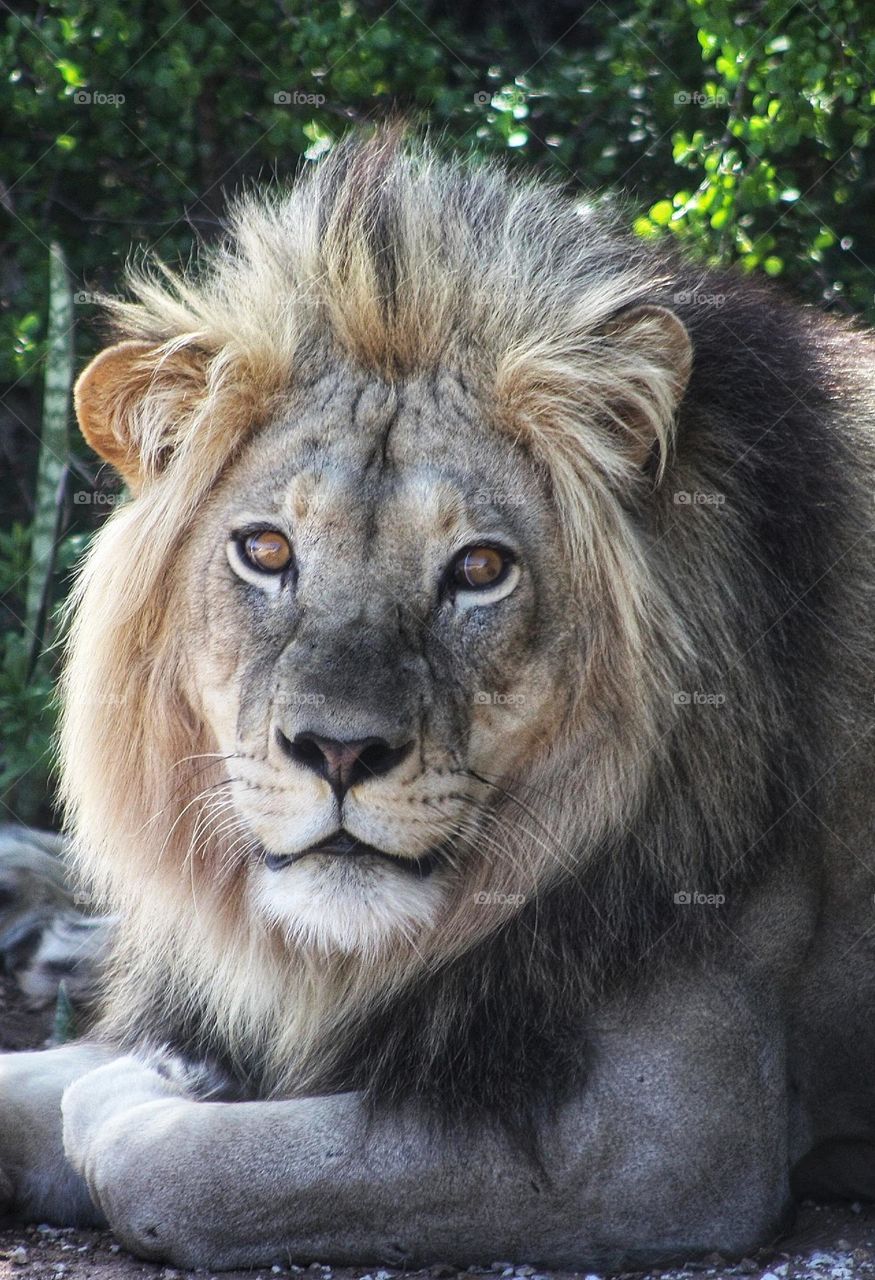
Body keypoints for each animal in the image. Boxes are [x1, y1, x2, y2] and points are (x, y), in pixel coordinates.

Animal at [1, 129, 875, 1269]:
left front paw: (144, 1088)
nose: (336, 752)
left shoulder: (670, 1140)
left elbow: (171, 1161)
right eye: (265, 550)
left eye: (480, 569)